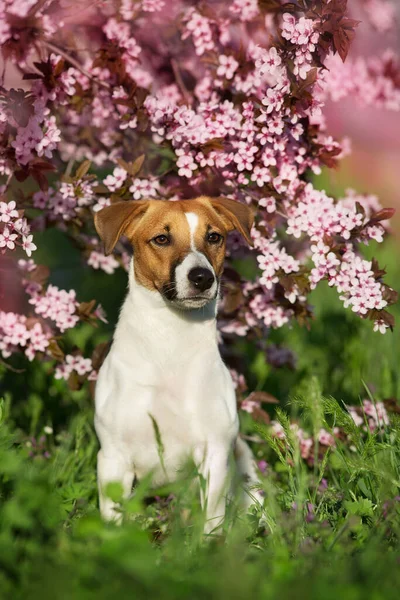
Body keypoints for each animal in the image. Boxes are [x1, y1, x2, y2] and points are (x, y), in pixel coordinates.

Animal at [92, 197, 264, 536]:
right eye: (162, 238)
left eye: (214, 237)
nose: (202, 277)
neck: (169, 345)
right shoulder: (113, 457)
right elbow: (114, 517)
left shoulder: (215, 453)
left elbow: (211, 519)